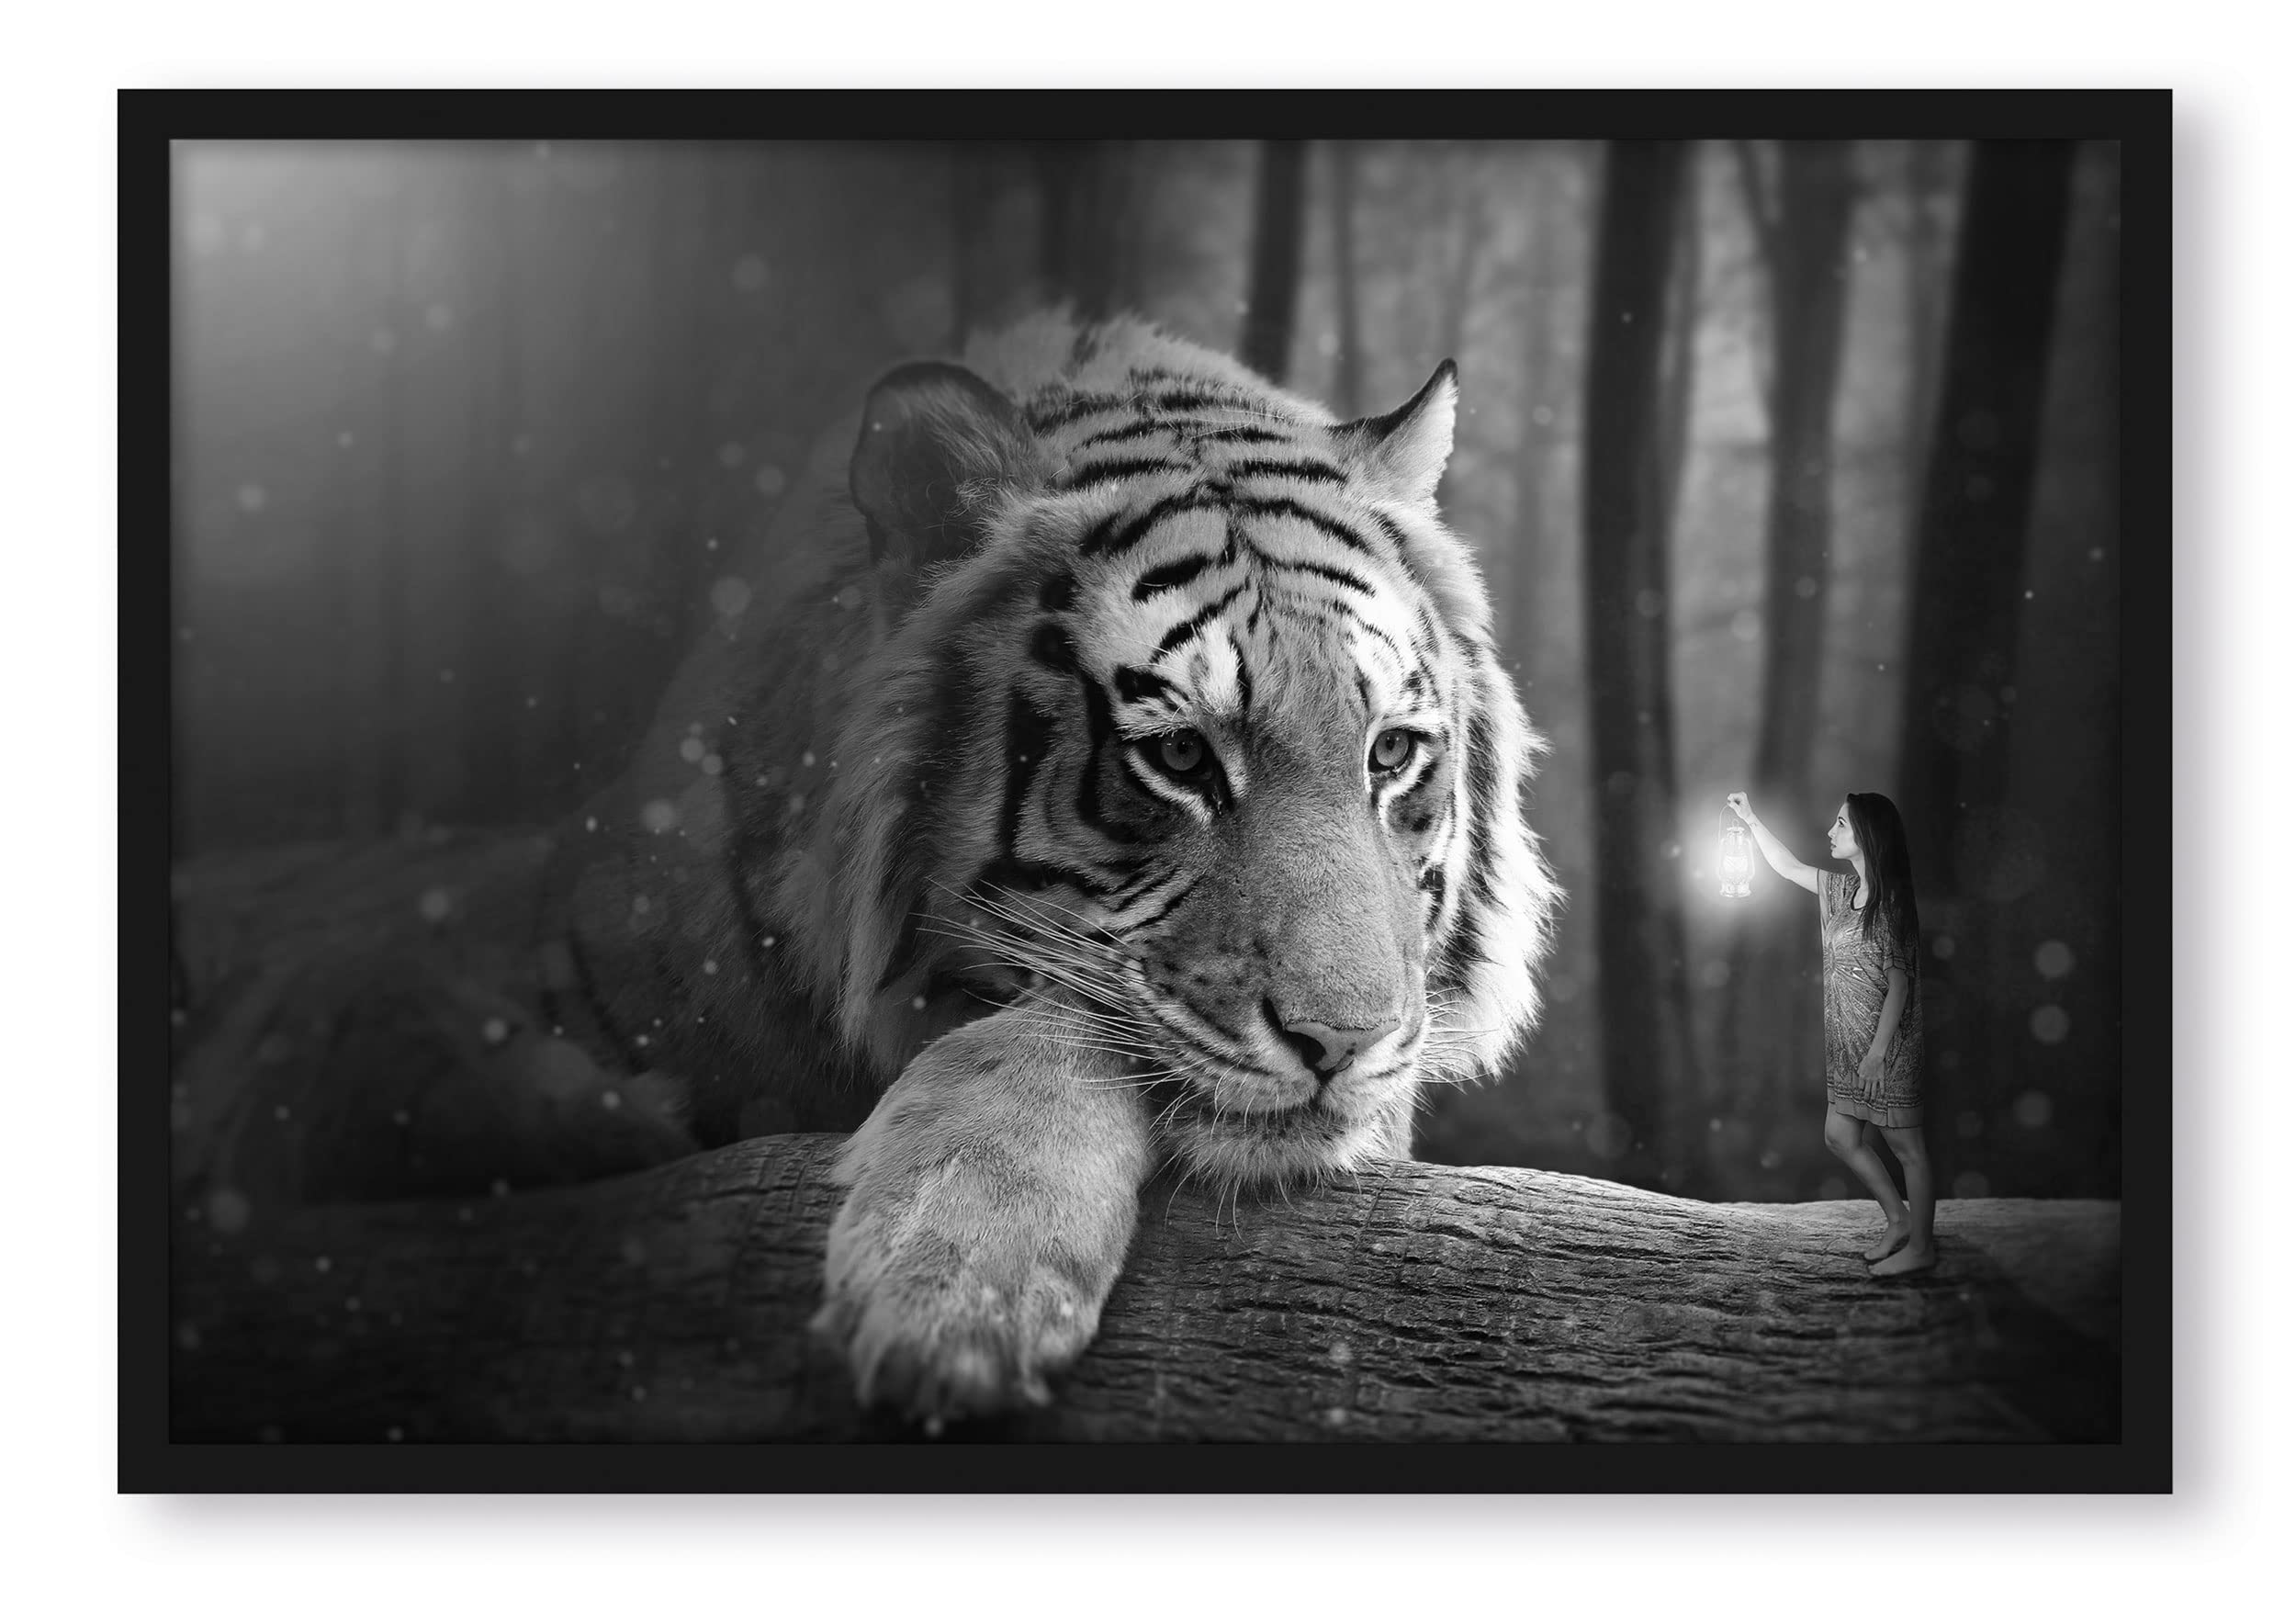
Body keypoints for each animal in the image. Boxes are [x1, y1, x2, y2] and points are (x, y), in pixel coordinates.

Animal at [173, 310, 1561, 1426]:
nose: (1348, 1042)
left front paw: (954, 1285)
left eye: (1390, 753)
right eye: (1178, 755)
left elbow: (1065, 1018)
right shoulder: (363, 1008)